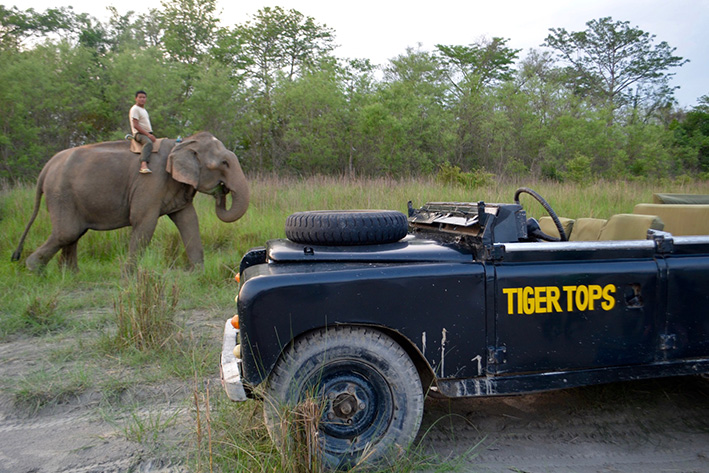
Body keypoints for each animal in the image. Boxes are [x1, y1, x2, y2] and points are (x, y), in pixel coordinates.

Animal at [12, 131, 249, 271]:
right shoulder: (150, 182)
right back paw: (33, 269)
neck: (182, 143)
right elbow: (144, 222)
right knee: (67, 233)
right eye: (224, 163)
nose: (222, 191)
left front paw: (198, 273)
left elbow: (189, 220)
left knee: (74, 234)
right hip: (61, 194)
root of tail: (46, 167)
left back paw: (70, 275)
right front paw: (129, 277)